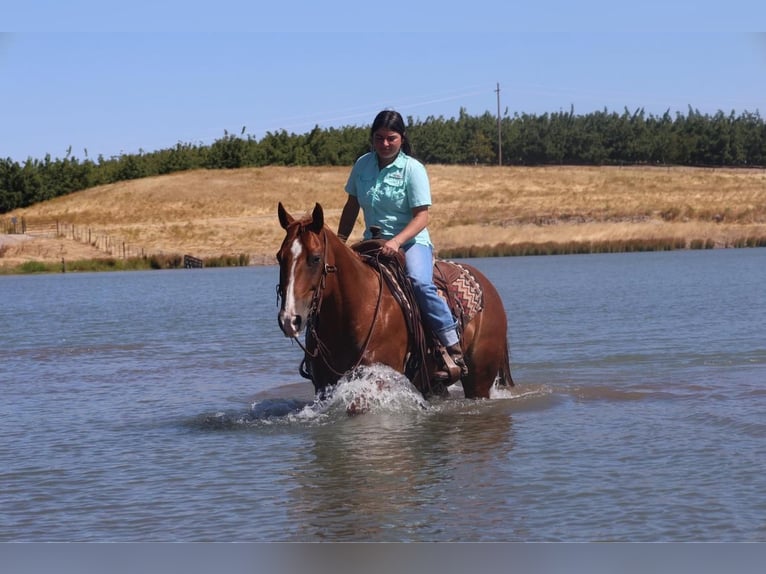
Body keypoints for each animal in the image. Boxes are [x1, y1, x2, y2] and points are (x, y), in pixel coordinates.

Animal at [276, 205, 516, 402]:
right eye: (280, 257)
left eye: (315, 258)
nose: (289, 319)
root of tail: (487, 286)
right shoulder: (324, 385)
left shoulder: (377, 379)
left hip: (479, 380)